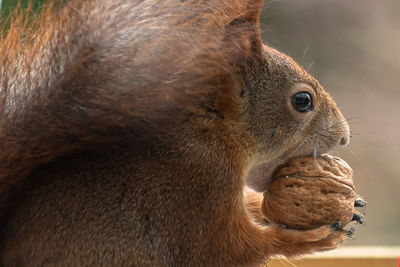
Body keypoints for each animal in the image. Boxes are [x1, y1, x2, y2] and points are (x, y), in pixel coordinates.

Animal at [0, 0, 354, 266]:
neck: (214, 129)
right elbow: (222, 249)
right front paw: (308, 238)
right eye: (302, 101)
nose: (344, 137)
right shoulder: (198, 180)